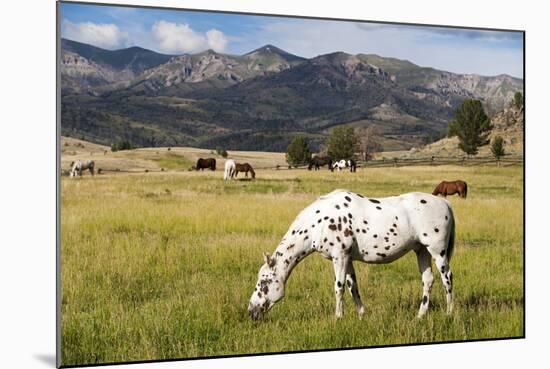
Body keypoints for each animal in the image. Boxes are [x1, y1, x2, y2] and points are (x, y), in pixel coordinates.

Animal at [250, 190, 458, 320]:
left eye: (264, 282)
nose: (251, 311)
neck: (319, 222)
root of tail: (445, 203)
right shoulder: (347, 259)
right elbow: (352, 287)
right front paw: (361, 314)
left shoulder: (340, 257)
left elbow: (339, 288)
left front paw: (338, 317)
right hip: (421, 250)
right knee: (428, 280)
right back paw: (420, 315)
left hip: (437, 251)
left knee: (447, 278)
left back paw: (449, 313)